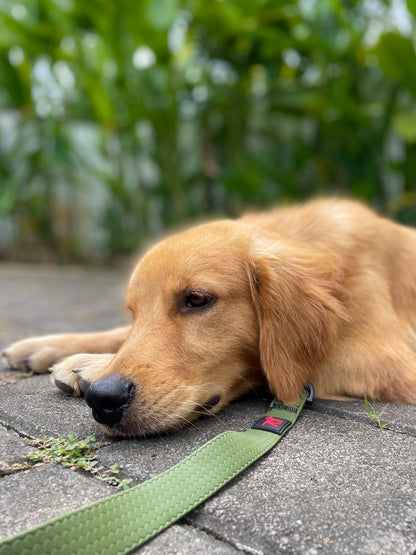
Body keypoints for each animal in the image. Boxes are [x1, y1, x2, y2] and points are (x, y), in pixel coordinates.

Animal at [0, 198, 416, 436]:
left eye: (197, 299)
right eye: (135, 312)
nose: (103, 399)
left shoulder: (391, 364)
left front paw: (88, 365)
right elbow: (118, 334)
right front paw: (49, 347)